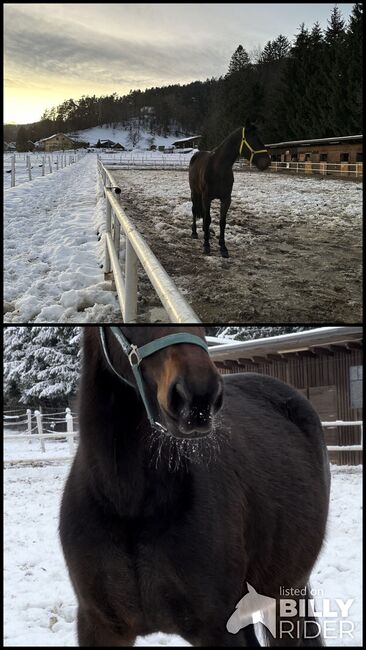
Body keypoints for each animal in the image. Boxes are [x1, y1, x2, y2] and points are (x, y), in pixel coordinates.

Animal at [189, 121, 272, 256]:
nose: (267, 163)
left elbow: (222, 222)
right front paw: (206, 246)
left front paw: (223, 248)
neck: (218, 169)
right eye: (253, 138)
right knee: (194, 211)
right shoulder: (207, 198)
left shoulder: (226, 199)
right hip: (194, 193)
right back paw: (194, 233)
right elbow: (207, 219)